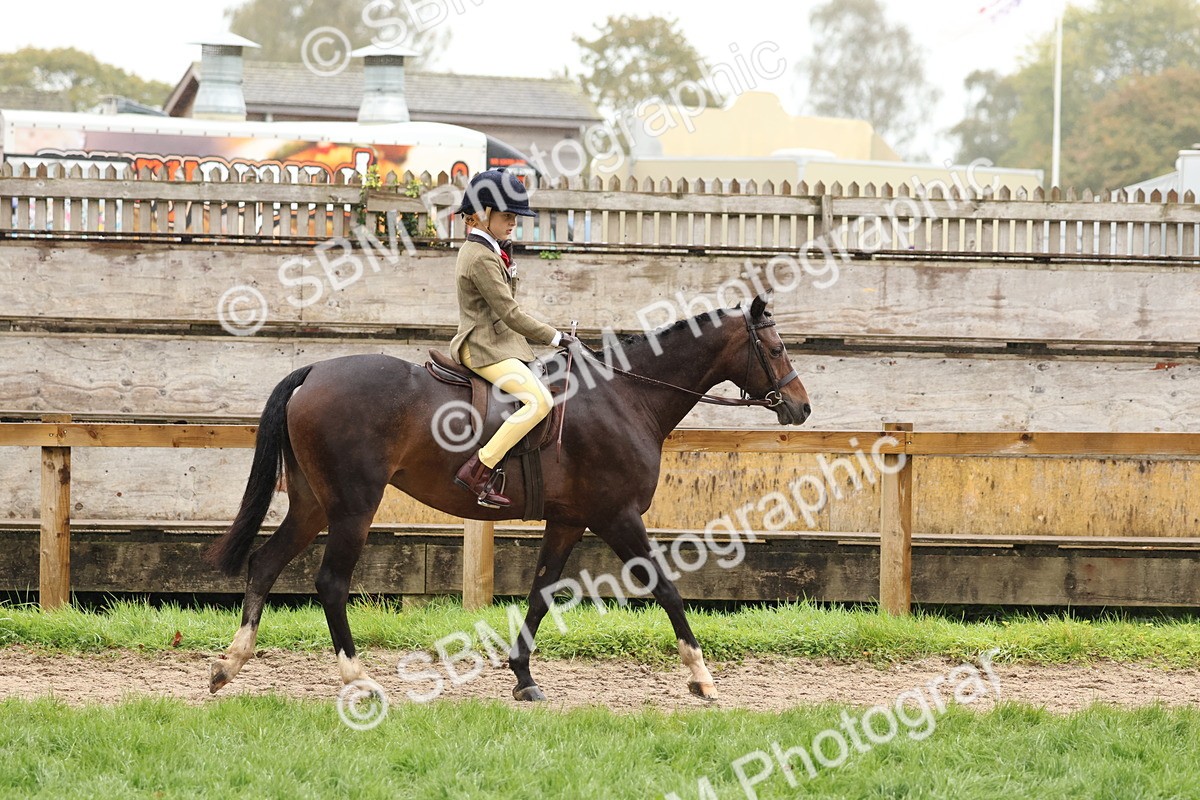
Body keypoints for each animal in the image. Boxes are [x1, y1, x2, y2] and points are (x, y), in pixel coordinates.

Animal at [204, 293, 811, 701]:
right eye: (776, 347)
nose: (801, 407)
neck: (625, 395)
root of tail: (314, 371)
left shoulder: (569, 521)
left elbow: (541, 593)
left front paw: (523, 677)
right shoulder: (618, 517)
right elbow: (666, 589)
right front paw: (701, 677)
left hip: (312, 505)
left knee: (265, 563)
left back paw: (229, 665)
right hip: (353, 507)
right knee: (330, 582)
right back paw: (359, 678)